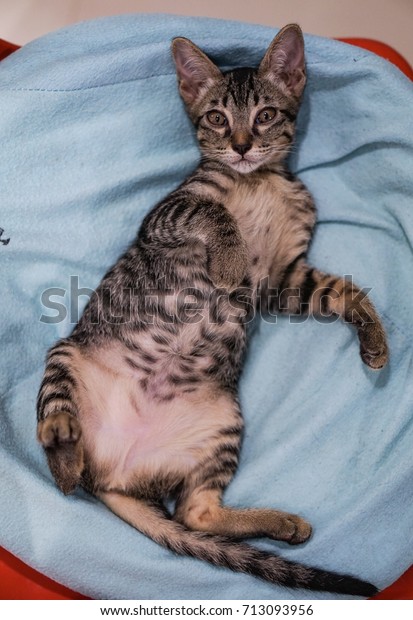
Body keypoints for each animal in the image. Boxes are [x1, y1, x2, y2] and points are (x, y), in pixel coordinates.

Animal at [35, 24, 386, 596]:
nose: (241, 146)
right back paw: (62, 442)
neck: (258, 179)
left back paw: (282, 523)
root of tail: (110, 478)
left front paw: (376, 341)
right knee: (62, 457)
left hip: (222, 427)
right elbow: (212, 209)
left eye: (265, 114)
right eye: (217, 118)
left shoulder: (285, 280)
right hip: (66, 354)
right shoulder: (166, 214)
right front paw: (228, 257)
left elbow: (342, 292)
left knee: (195, 513)